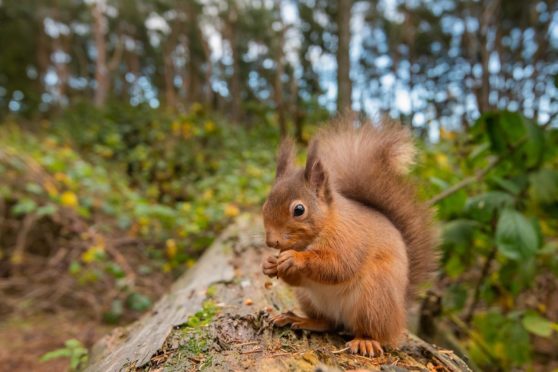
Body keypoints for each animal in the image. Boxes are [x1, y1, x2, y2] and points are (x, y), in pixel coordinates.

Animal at [260, 117, 440, 356]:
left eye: (299, 210)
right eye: (264, 205)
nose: (272, 242)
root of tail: (398, 314)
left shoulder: (350, 240)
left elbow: (338, 266)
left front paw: (295, 259)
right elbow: (298, 279)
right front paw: (269, 264)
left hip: (373, 299)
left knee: (371, 331)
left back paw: (365, 341)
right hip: (309, 299)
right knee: (329, 323)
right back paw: (300, 319)